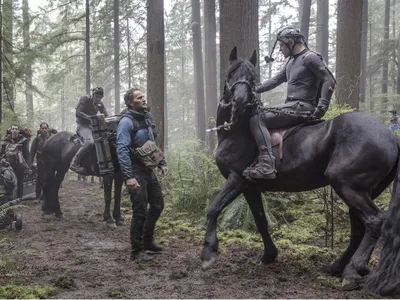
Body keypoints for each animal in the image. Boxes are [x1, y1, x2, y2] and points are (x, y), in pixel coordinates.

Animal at [202, 48, 400, 292]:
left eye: (252, 77)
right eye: (230, 74)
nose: (239, 100)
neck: (236, 131)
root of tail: (391, 136)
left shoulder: (236, 179)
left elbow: (213, 208)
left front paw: (208, 252)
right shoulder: (250, 186)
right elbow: (260, 220)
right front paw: (269, 255)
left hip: (348, 186)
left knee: (374, 222)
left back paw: (354, 270)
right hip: (365, 190)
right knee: (359, 228)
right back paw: (340, 267)